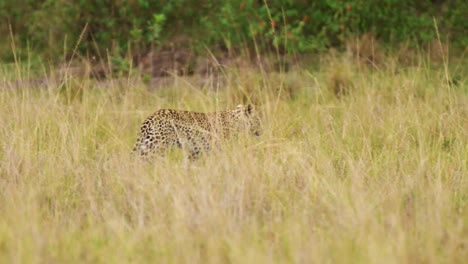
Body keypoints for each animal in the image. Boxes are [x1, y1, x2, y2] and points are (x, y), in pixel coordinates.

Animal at [132, 104, 262, 159]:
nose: (261, 131)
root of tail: (152, 116)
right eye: (258, 120)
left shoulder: (196, 152)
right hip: (156, 147)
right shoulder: (218, 149)